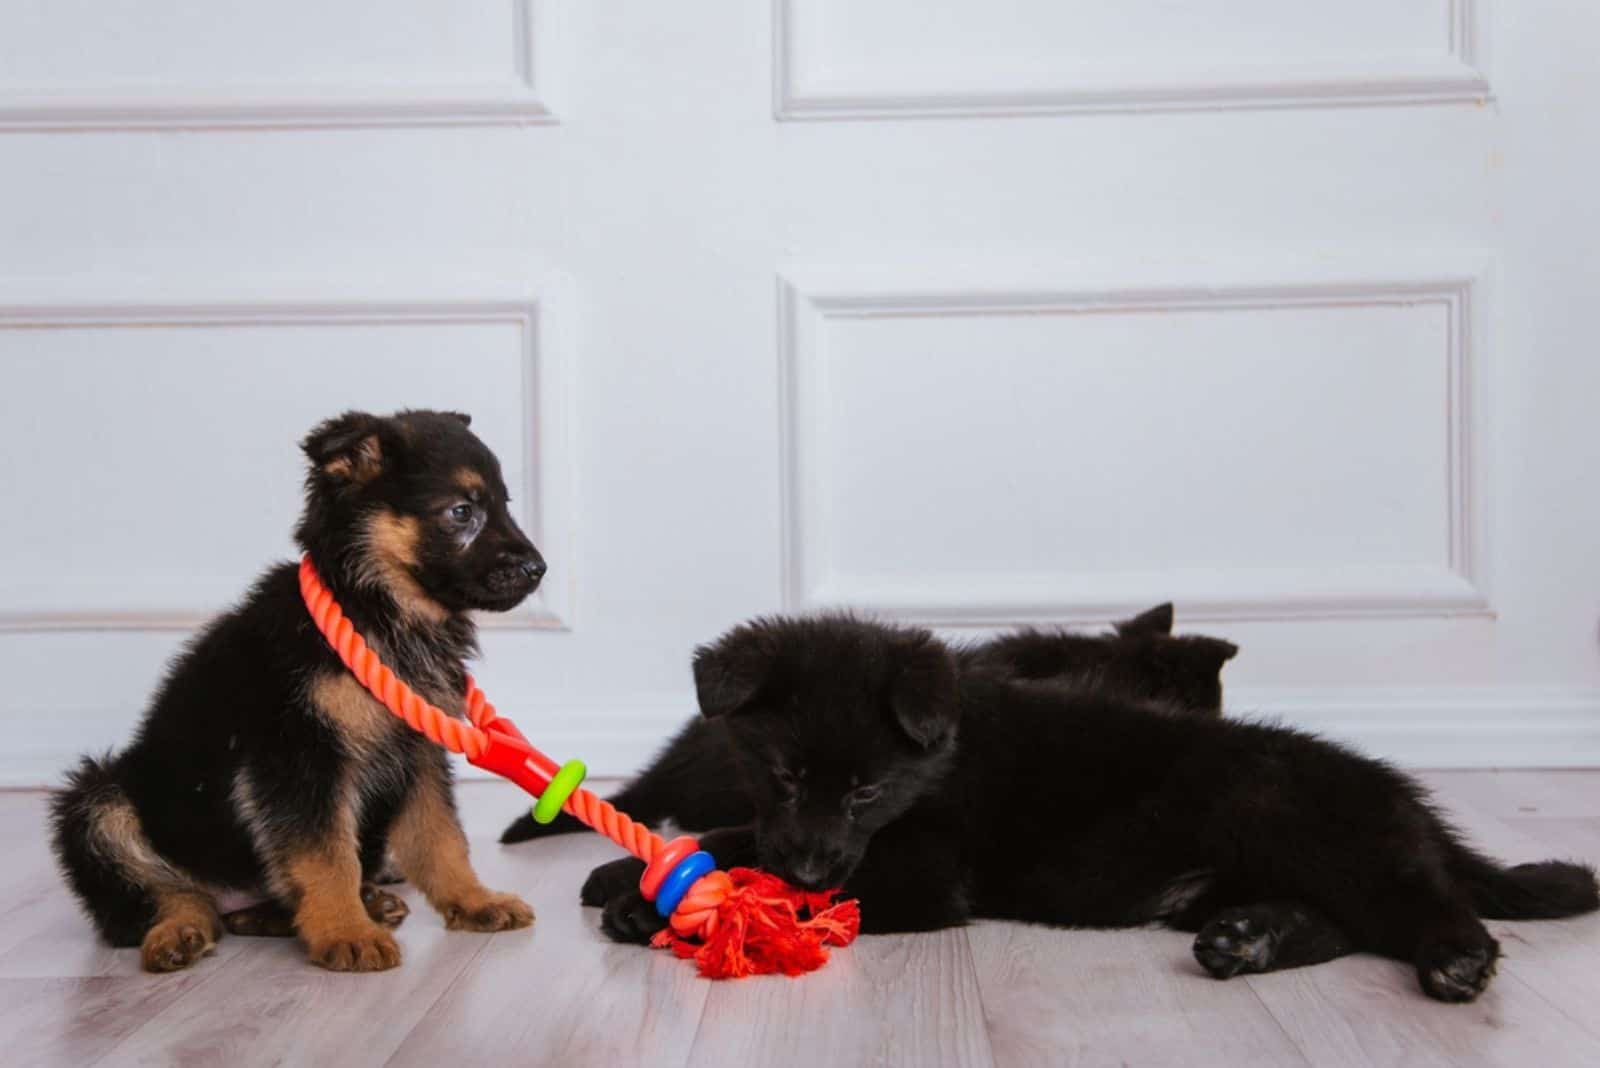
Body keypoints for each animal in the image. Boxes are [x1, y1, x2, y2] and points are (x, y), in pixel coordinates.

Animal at [50, 412, 540, 978]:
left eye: (505, 504)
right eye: (461, 511)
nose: (539, 569)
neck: (375, 612)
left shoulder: (419, 752)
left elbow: (440, 838)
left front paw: (474, 901)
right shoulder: (299, 759)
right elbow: (325, 855)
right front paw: (347, 933)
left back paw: (352, 903)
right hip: (98, 799)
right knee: (163, 897)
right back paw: (180, 931)